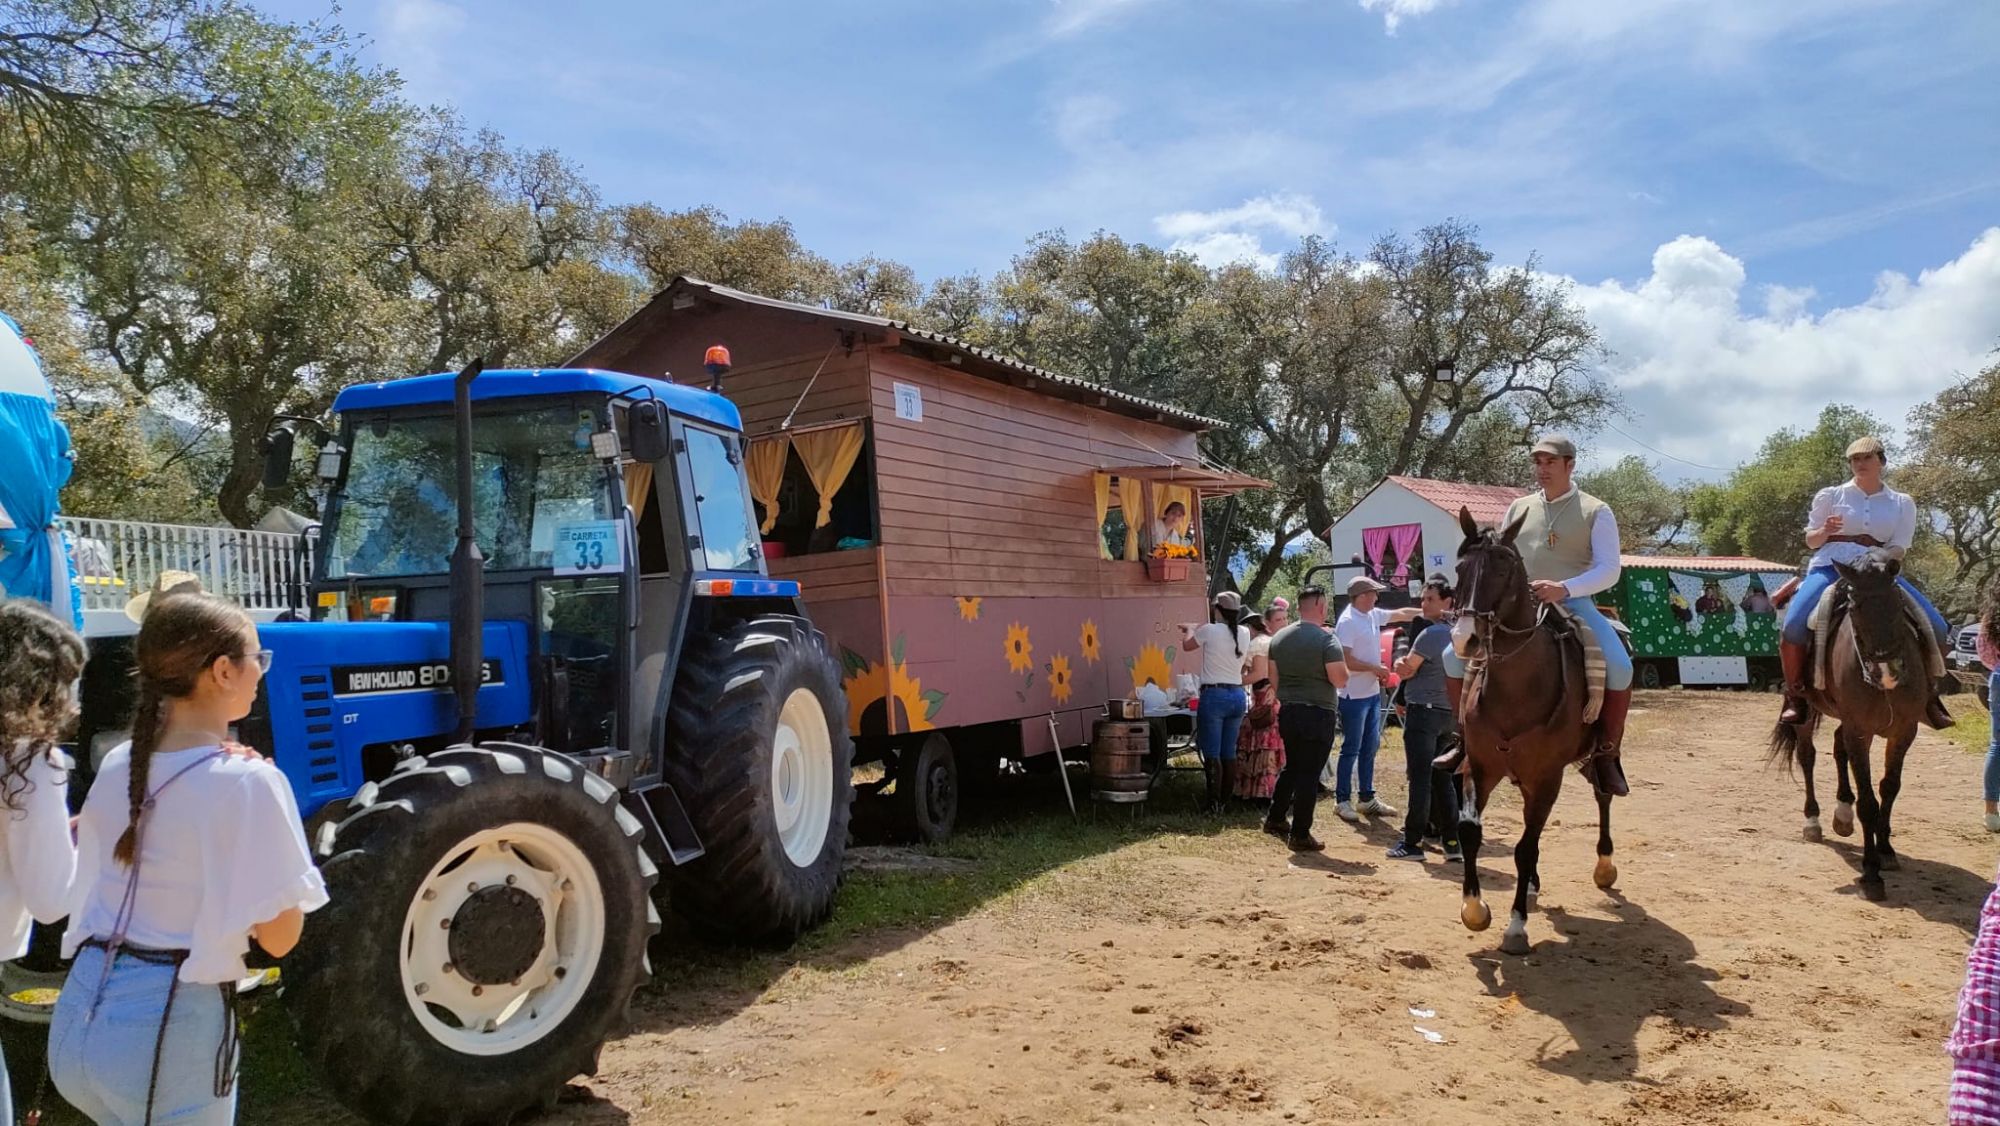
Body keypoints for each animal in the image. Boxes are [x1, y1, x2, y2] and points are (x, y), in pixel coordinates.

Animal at [1448, 506, 1616, 956]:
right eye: (1460, 567)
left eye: (1504, 567)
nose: (1465, 639)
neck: (1517, 686)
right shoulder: (1479, 767)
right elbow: (1469, 830)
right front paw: (1475, 910)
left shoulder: (1546, 778)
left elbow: (1524, 847)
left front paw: (1515, 926)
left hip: (1592, 759)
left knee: (1603, 797)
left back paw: (1605, 865)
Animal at [1776, 552, 1928, 904]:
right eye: (1855, 606)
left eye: (1897, 600)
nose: (1887, 671)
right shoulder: (1859, 729)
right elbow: (1869, 803)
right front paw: (1871, 874)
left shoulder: (1904, 731)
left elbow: (1889, 787)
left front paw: (1886, 850)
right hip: (1807, 712)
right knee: (1808, 755)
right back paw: (1813, 821)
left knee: (1837, 747)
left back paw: (1842, 813)